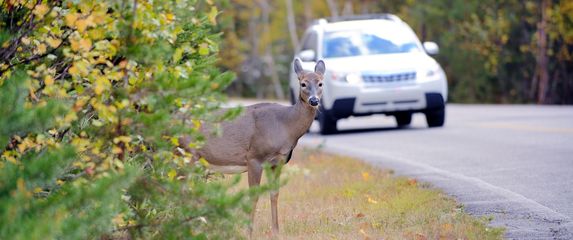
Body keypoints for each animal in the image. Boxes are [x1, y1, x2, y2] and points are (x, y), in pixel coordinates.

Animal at [181, 58, 324, 236]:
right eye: (303, 83)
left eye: (321, 83)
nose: (314, 101)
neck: (285, 125)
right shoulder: (254, 157)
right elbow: (253, 196)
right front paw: (248, 232)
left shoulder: (277, 162)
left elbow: (274, 193)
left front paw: (276, 232)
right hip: (188, 153)